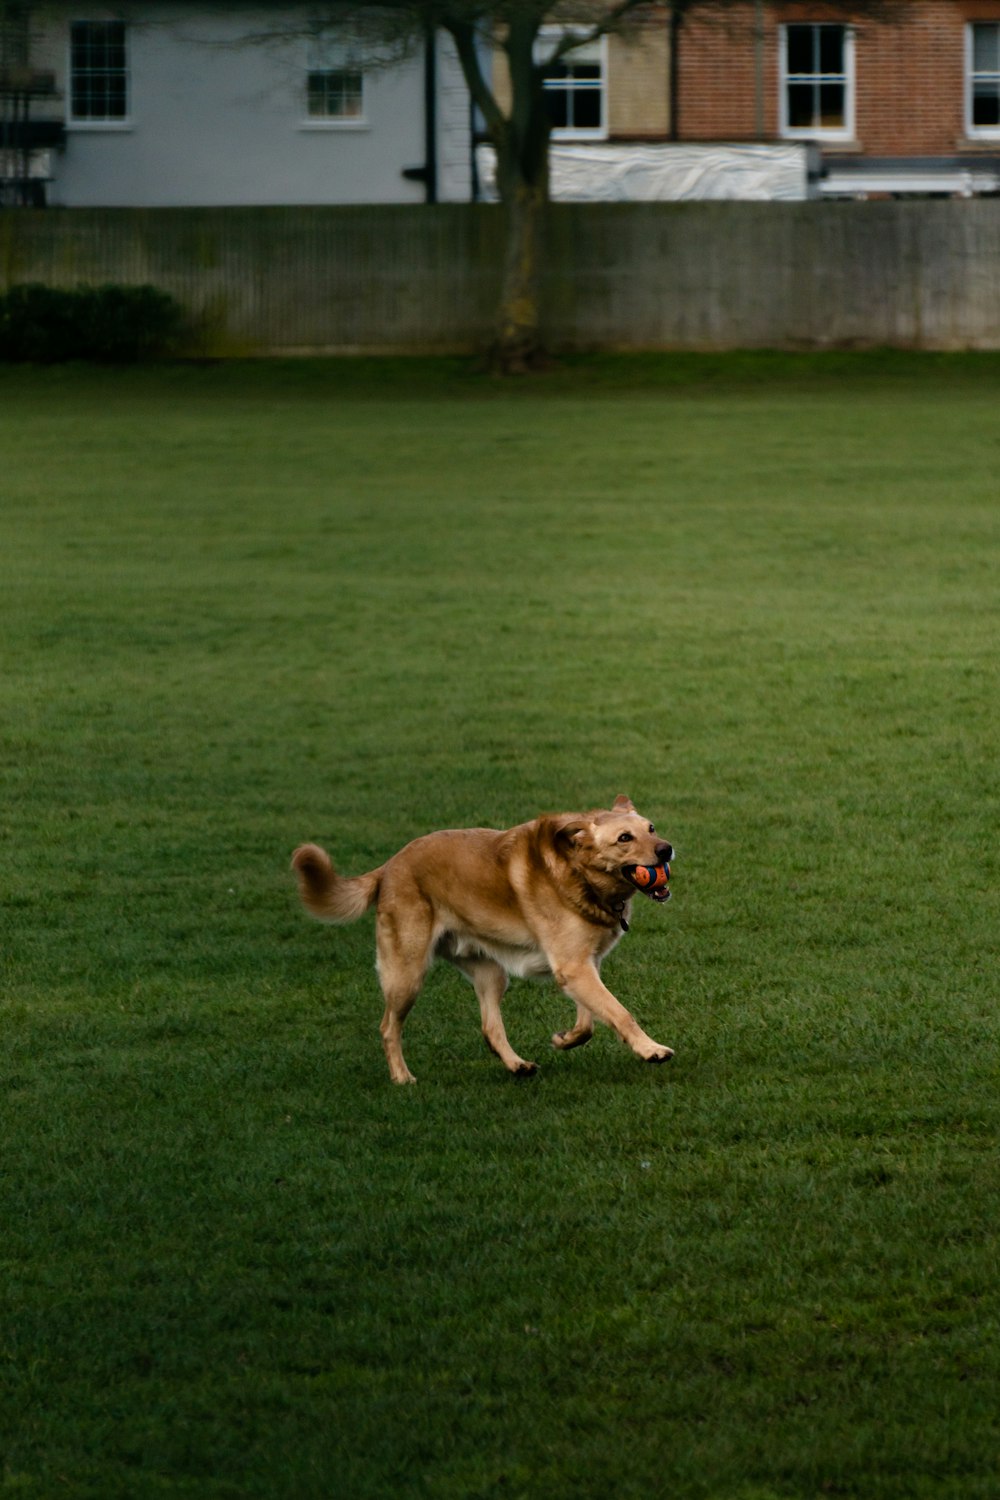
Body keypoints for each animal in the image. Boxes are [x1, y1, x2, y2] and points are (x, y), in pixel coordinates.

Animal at [293, 792, 677, 1086]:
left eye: (651, 828)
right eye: (624, 838)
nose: (667, 849)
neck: (579, 874)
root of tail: (388, 867)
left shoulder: (582, 965)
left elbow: (590, 1021)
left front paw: (565, 1039)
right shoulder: (574, 967)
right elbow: (620, 1012)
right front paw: (651, 1049)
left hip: (490, 972)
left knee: (490, 1028)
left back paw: (517, 1065)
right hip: (407, 975)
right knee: (389, 1027)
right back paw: (402, 1078)